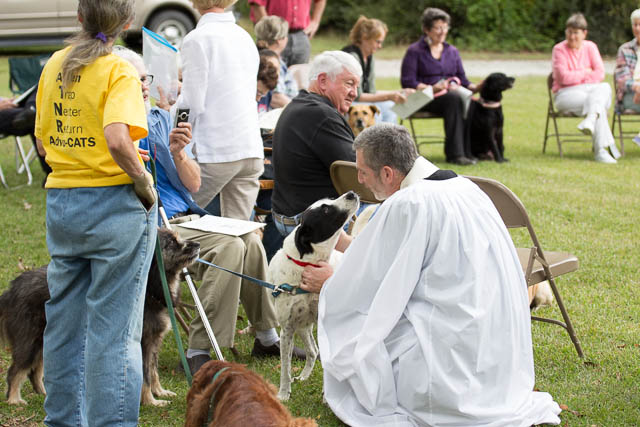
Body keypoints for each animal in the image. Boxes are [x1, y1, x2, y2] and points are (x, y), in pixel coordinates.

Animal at [0, 229, 200, 406]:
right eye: (172, 242)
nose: (197, 244)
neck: (151, 287)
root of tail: (11, 290)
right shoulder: (142, 342)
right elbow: (145, 376)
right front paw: (151, 401)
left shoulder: (154, 340)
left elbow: (153, 370)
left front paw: (159, 392)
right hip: (29, 341)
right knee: (15, 370)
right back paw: (14, 399)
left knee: (35, 371)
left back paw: (44, 393)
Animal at [268, 191, 360, 402]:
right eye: (325, 210)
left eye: (331, 199)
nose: (351, 193)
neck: (307, 265)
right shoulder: (287, 329)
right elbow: (285, 367)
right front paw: (283, 393)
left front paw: (328, 396)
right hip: (302, 326)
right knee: (312, 351)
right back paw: (303, 376)